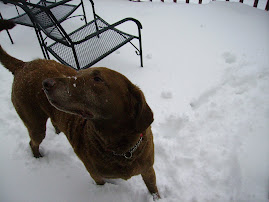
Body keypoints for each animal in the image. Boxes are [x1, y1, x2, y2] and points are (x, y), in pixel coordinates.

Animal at [0, 45, 159, 199]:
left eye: (97, 79)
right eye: (78, 74)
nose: (45, 83)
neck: (122, 149)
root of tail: (24, 64)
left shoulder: (148, 169)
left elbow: (153, 190)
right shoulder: (96, 175)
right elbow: (100, 182)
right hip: (35, 123)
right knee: (33, 142)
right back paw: (38, 156)